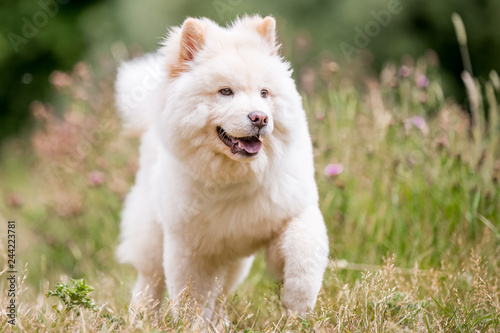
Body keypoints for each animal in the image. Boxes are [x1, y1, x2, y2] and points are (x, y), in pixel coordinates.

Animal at [115, 14, 330, 320]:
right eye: (225, 92)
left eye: (264, 93)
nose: (260, 118)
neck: (234, 179)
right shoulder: (188, 248)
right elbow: (191, 296)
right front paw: (192, 324)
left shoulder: (293, 213)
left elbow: (304, 256)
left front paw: (297, 307)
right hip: (153, 235)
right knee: (149, 281)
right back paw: (142, 317)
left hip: (233, 265)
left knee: (219, 292)